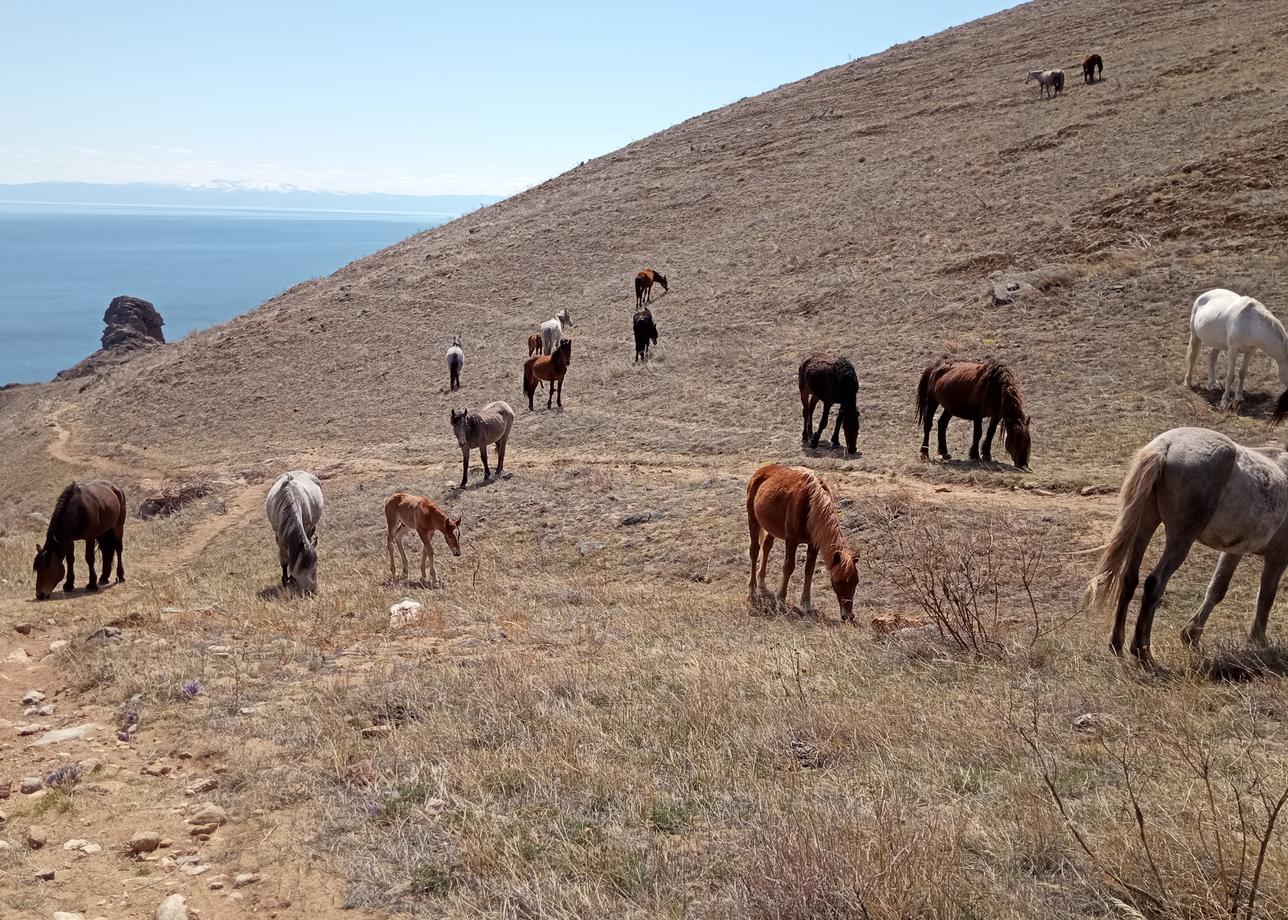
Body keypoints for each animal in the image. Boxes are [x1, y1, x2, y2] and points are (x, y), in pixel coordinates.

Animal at [747, 461, 855, 621]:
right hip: (753, 520)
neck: (810, 505)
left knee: (766, 547)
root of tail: (760, 471)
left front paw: (807, 605)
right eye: (838, 582)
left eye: (856, 581)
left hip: (771, 527)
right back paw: (752, 590)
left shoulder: (814, 544)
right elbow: (788, 567)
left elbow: (809, 570)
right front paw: (781, 601)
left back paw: (761, 583)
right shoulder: (791, 540)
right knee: (754, 551)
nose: (848, 616)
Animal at [1087, 425, 1288, 664]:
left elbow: (1217, 589)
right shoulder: (1277, 557)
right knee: (1155, 582)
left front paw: (1191, 636)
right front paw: (1258, 641)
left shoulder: (1234, 551)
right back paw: (1142, 651)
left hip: (1145, 524)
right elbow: (1266, 597)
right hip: (1181, 538)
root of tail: (1166, 445)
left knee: (1129, 578)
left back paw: (1117, 644)